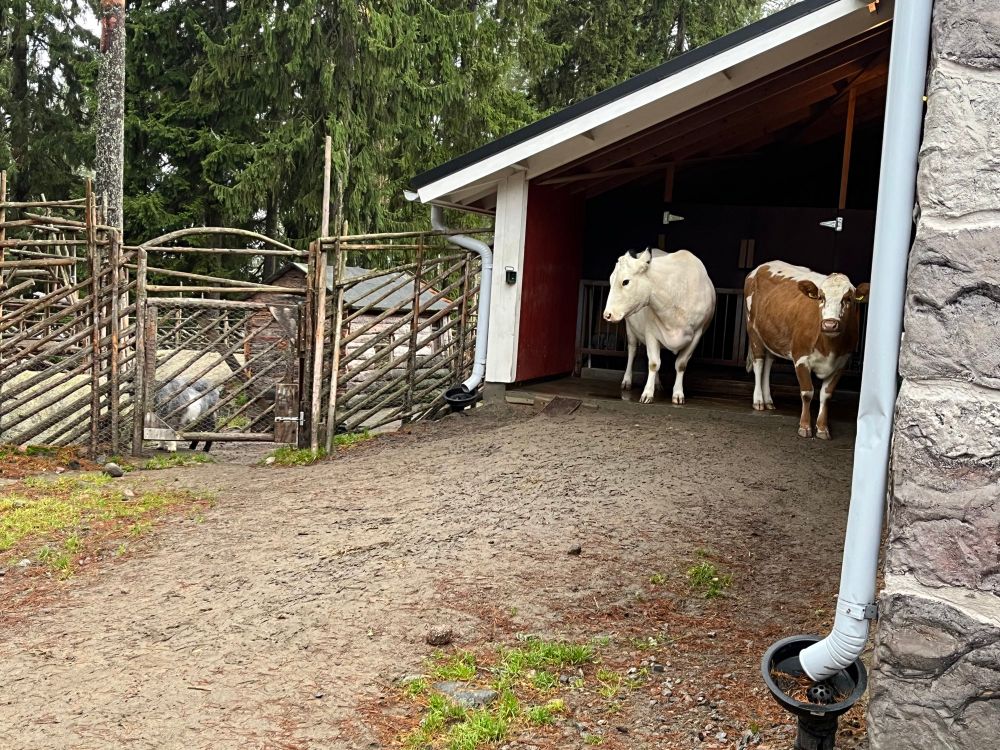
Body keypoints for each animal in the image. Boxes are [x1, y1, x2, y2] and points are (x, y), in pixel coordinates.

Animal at [603, 248, 716, 405]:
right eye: (610, 280)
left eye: (625, 281)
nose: (607, 314)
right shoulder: (650, 332)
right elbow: (654, 363)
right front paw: (647, 393)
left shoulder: (697, 334)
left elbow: (681, 364)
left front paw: (678, 393)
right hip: (630, 328)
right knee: (632, 351)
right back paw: (627, 380)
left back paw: (657, 383)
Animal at [743, 261, 869, 439]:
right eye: (821, 297)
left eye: (848, 299)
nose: (829, 324)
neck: (829, 347)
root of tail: (762, 266)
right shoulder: (801, 358)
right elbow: (807, 392)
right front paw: (804, 426)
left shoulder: (842, 363)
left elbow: (826, 395)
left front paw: (822, 428)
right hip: (753, 331)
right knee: (759, 363)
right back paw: (759, 400)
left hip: (772, 337)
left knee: (768, 364)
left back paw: (768, 400)